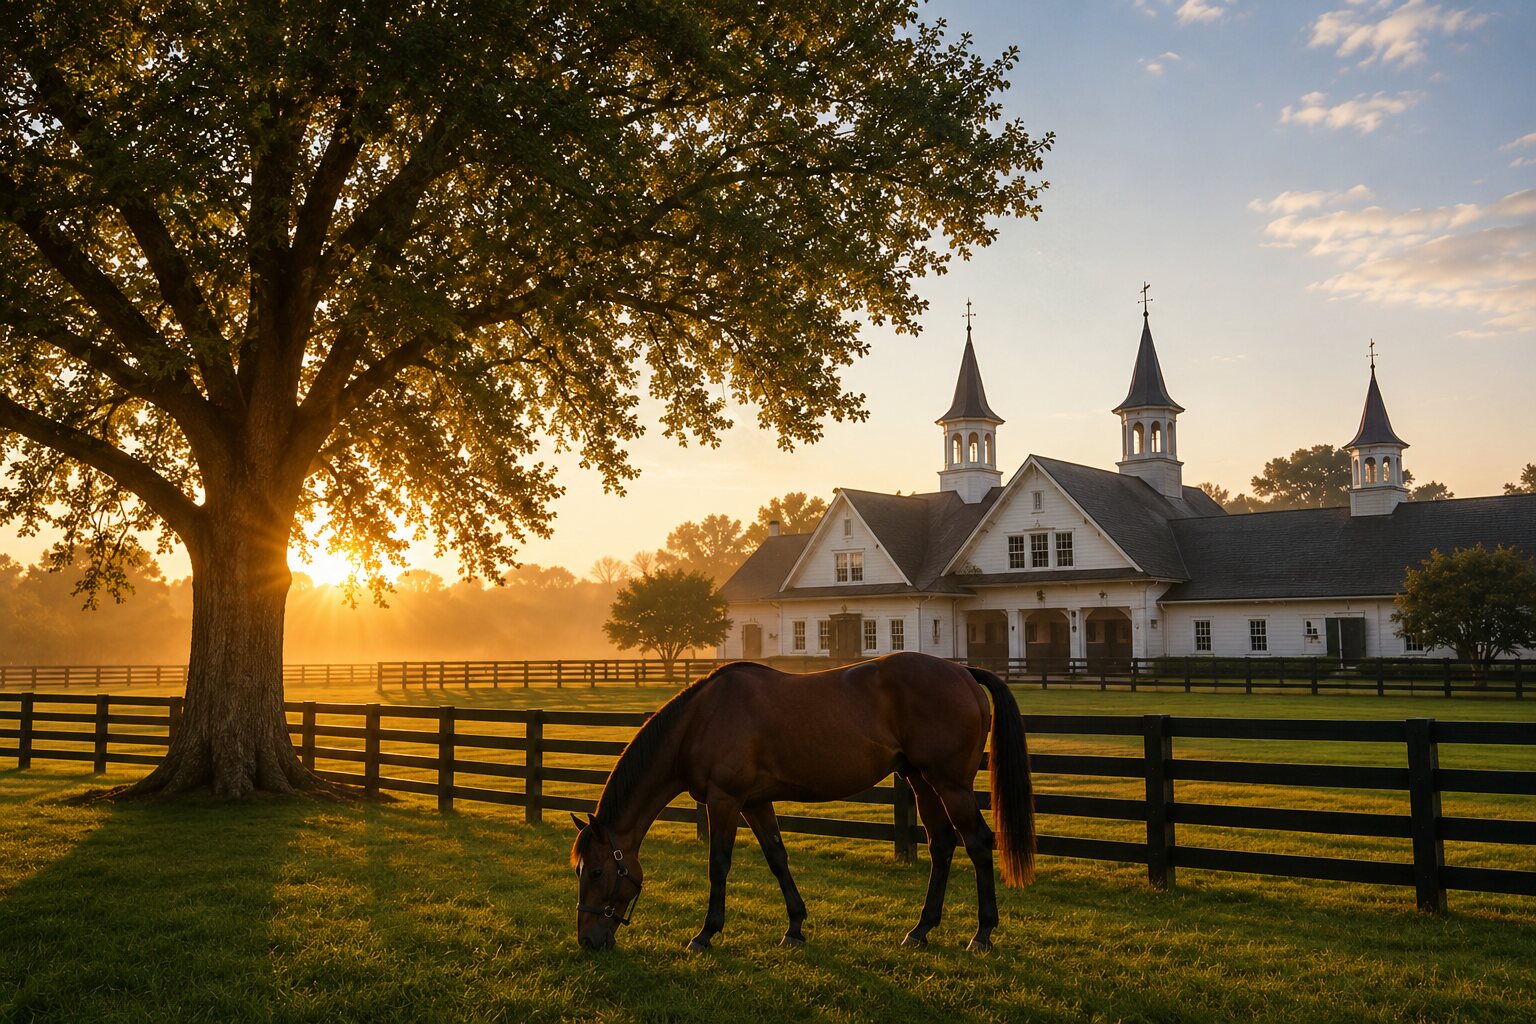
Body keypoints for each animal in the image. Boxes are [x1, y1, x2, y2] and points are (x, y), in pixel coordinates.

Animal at [570, 651, 1035, 953]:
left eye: (596, 871)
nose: (588, 940)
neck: (701, 719)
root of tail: (962, 672)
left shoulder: (725, 800)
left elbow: (718, 864)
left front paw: (706, 934)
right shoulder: (754, 803)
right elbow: (778, 858)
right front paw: (794, 927)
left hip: (950, 784)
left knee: (978, 843)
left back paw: (982, 934)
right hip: (921, 781)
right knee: (942, 845)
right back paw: (920, 930)